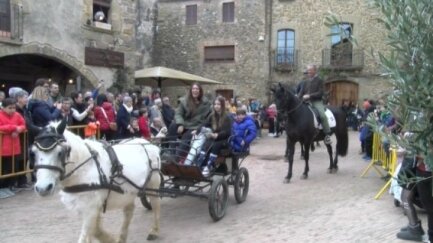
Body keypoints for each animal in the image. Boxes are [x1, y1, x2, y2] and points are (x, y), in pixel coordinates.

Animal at [31, 120, 160, 243]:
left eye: (60, 152)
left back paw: (154, 231)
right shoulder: (87, 207)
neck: (85, 168)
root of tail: (147, 143)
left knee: (155, 205)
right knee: (129, 211)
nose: (43, 188)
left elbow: (89, 233)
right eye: (33, 152)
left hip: (153, 184)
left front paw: (110, 239)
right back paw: (122, 237)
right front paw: (111, 239)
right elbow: (94, 231)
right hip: (129, 192)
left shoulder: (91, 207)